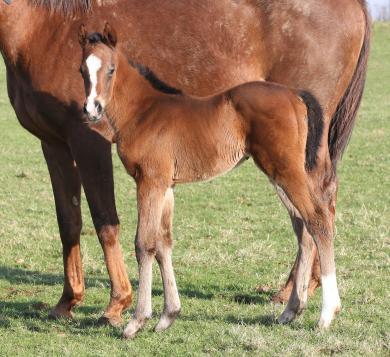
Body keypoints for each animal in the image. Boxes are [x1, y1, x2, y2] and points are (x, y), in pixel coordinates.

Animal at [80, 24, 342, 336]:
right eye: (82, 70)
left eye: (110, 69)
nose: (91, 109)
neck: (143, 111)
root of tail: (296, 94)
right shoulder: (167, 186)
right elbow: (164, 243)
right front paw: (169, 315)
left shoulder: (149, 182)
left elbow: (145, 244)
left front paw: (137, 320)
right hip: (279, 176)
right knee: (302, 228)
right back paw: (291, 310)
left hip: (287, 171)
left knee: (318, 220)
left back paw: (327, 314)